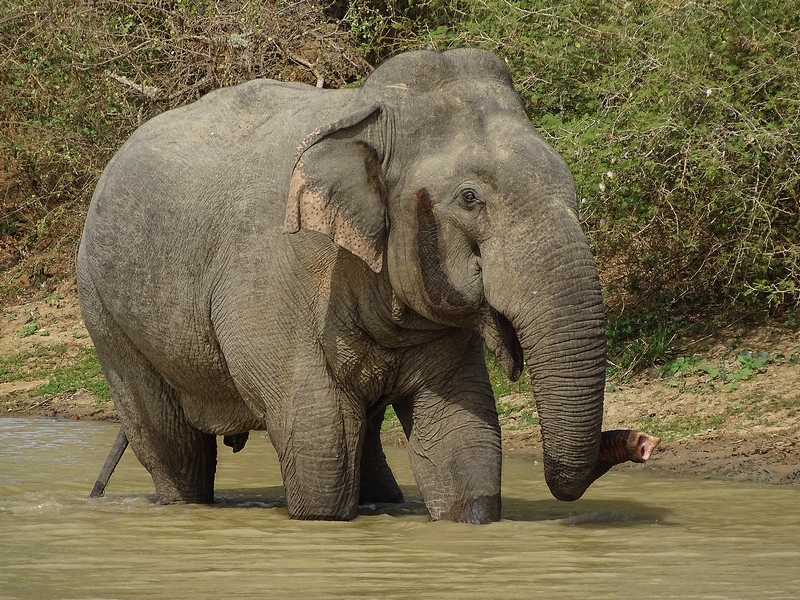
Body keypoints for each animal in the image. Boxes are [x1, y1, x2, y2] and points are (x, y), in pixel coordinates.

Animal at [77, 48, 659, 523]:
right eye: (470, 198)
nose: (643, 441)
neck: (369, 114)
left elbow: (461, 441)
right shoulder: (272, 279)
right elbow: (321, 442)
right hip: (106, 314)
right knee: (172, 446)